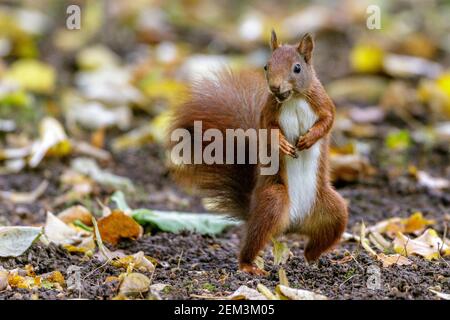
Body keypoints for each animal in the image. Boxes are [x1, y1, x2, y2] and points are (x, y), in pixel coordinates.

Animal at [169, 30, 348, 276]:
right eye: (266, 66)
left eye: (297, 68)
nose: (275, 87)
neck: (293, 98)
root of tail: (293, 224)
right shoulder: (268, 111)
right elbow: (269, 130)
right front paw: (282, 144)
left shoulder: (322, 101)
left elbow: (328, 120)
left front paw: (309, 138)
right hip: (273, 201)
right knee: (255, 240)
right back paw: (249, 265)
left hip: (334, 211)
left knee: (316, 245)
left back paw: (322, 261)